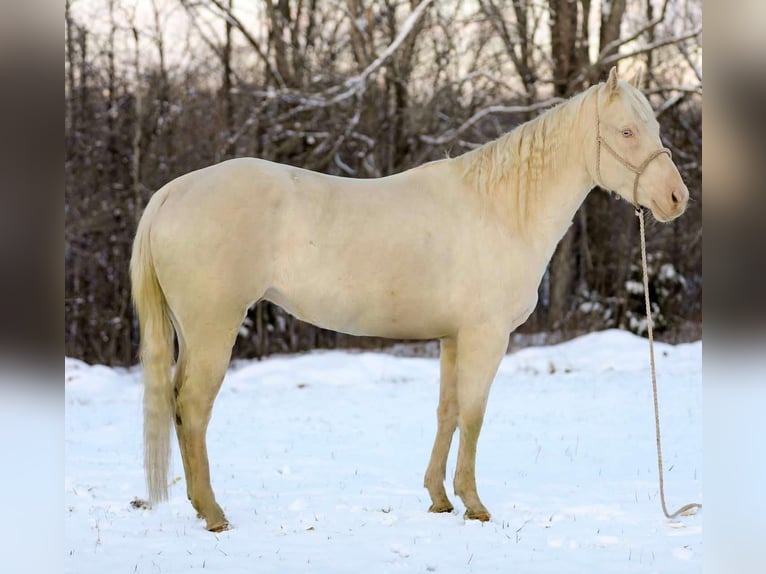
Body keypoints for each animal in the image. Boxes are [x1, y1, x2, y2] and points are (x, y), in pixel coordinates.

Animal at [130, 68, 688, 536]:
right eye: (626, 132)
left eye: (653, 126)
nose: (677, 198)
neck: (500, 210)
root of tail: (172, 193)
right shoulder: (486, 336)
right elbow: (474, 413)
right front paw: (474, 504)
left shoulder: (452, 338)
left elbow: (448, 411)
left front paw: (439, 498)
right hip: (214, 330)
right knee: (193, 408)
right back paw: (213, 513)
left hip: (191, 333)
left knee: (177, 405)